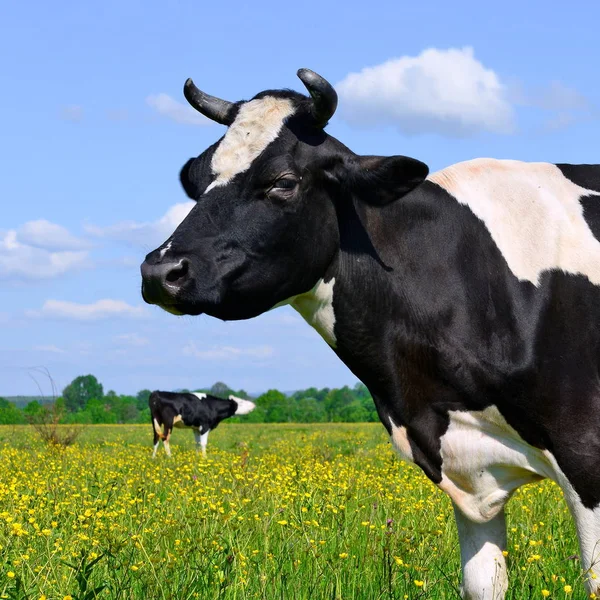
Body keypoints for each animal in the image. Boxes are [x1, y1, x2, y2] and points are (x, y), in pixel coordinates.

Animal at [138, 68, 600, 596]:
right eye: (197, 180)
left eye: (283, 182)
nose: (160, 270)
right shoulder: (467, 469)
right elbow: (483, 584)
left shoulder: (586, 457)